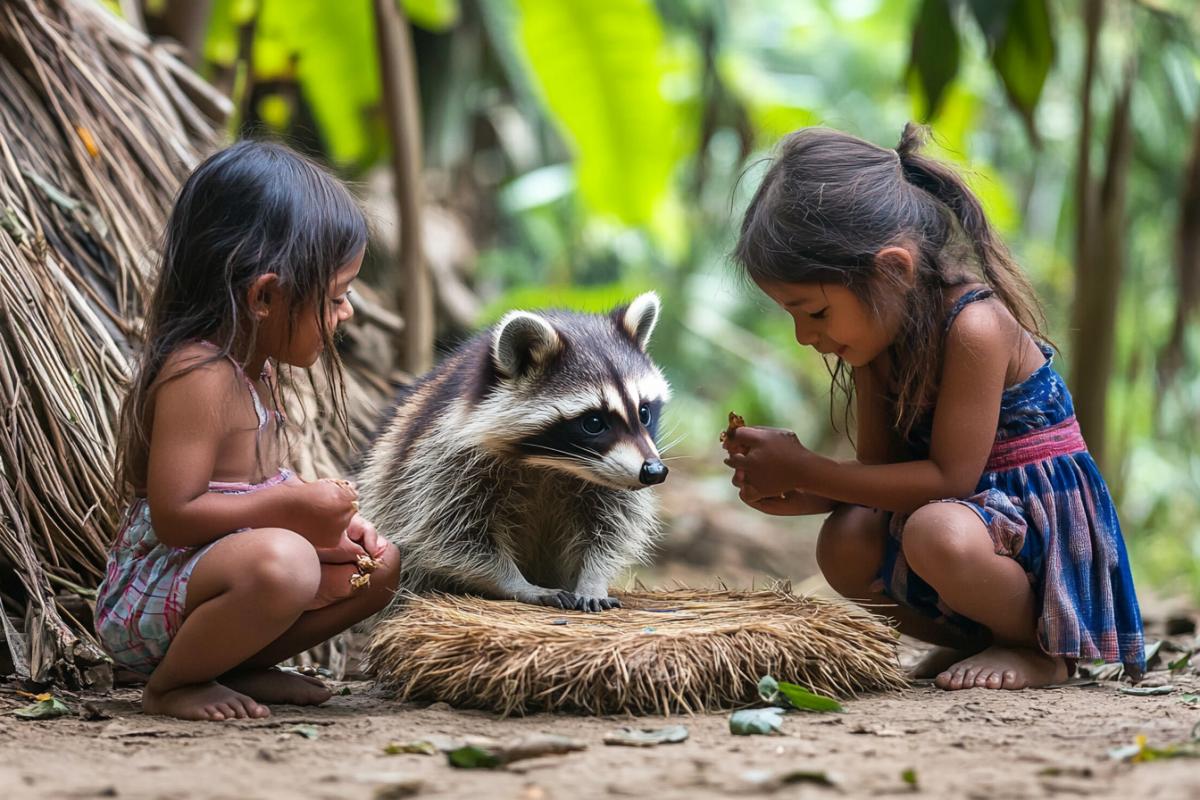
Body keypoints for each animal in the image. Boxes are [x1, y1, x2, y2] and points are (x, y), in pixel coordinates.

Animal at [357, 292, 671, 612]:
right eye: (594, 422)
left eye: (644, 412)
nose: (654, 471)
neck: (552, 464)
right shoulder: (438, 461)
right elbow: (447, 534)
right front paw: (517, 583)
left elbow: (613, 529)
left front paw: (593, 578)